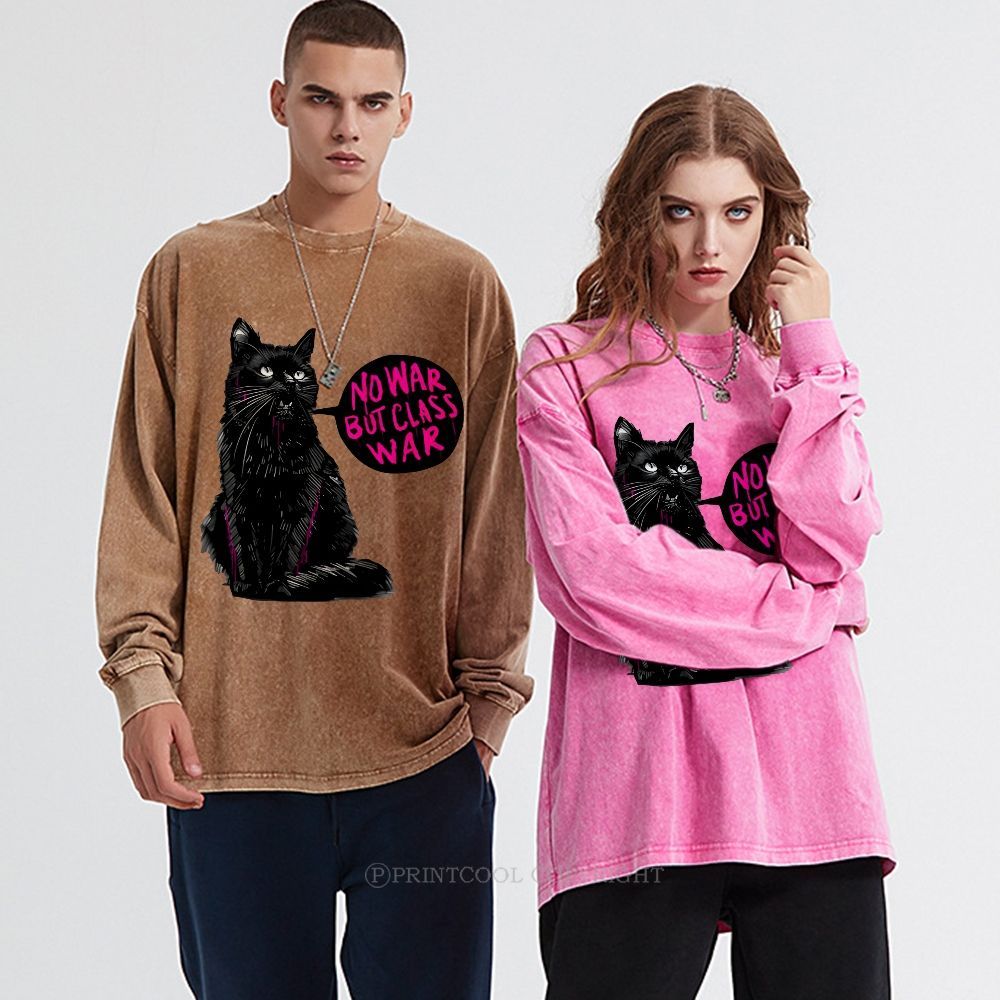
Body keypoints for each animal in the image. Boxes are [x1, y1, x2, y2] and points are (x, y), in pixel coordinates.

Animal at [200, 317, 393, 602]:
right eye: (267, 370)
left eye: (300, 374)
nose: (292, 382)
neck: (270, 445)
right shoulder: (238, 504)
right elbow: (244, 549)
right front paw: (247, 586)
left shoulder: (301, 504)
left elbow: (288, 549)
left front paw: (281, 586)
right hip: (216, 512)